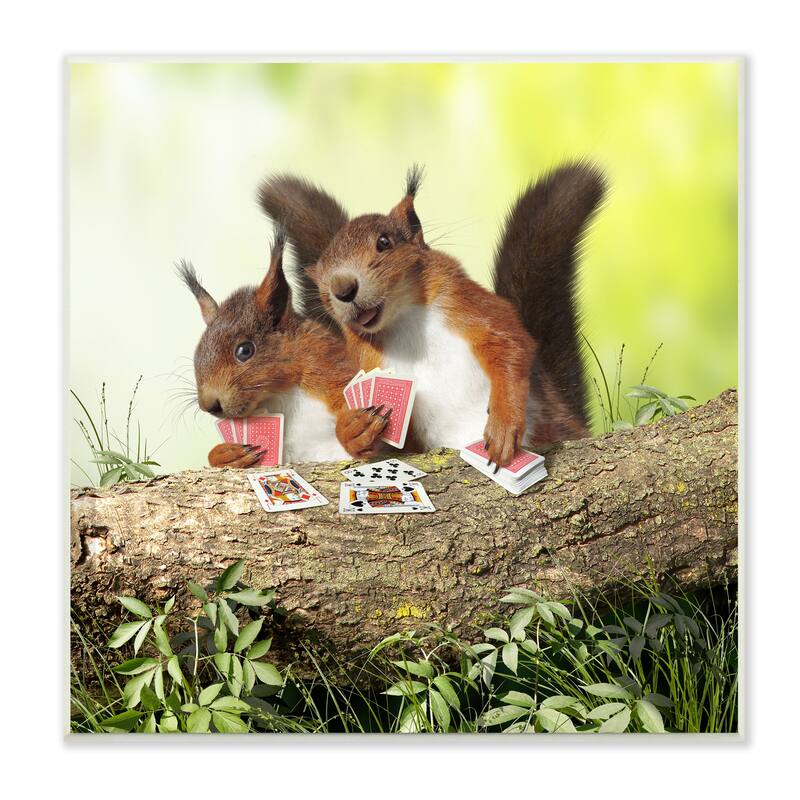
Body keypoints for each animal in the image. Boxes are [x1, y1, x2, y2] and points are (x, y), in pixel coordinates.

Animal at [177, 228, 391, 468]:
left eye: (244, 350)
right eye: (197, 352)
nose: (209, 405)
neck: (279, 394)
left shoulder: (329, 369)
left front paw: (355, 430)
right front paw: (226, 454)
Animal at [258, 162, 606, 465]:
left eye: (384, 242)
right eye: (321, 279)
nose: (342, 288)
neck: (402, 321)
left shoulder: (467, 303)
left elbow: (510, 344)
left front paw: (504, 425)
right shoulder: (361, 362)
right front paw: (354, 430)